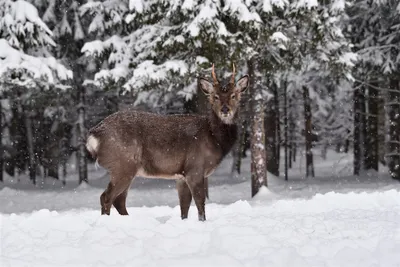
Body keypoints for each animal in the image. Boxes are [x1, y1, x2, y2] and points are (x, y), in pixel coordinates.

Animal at [85, 63, 248, 222]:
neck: (214, 139)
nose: (225, 109)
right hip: (122, 165)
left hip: (124, 168)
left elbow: (184, 208)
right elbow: (200, 205)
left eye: (233, 95)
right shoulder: (195, 168)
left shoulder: (181, 176)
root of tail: (95, 134)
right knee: (106, 197)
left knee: (119, 201)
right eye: (215, 96)